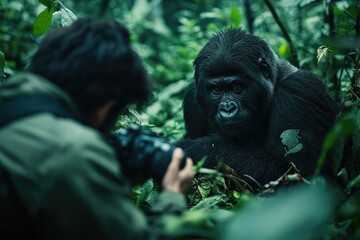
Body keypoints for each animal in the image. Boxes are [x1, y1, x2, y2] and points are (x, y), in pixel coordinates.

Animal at [179, 27, 342, 186]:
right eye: (216, 90)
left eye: (237, 88)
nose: (227, 109)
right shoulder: (192, 97)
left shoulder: (299, 89)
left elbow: (299, 173)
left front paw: (191, 151)